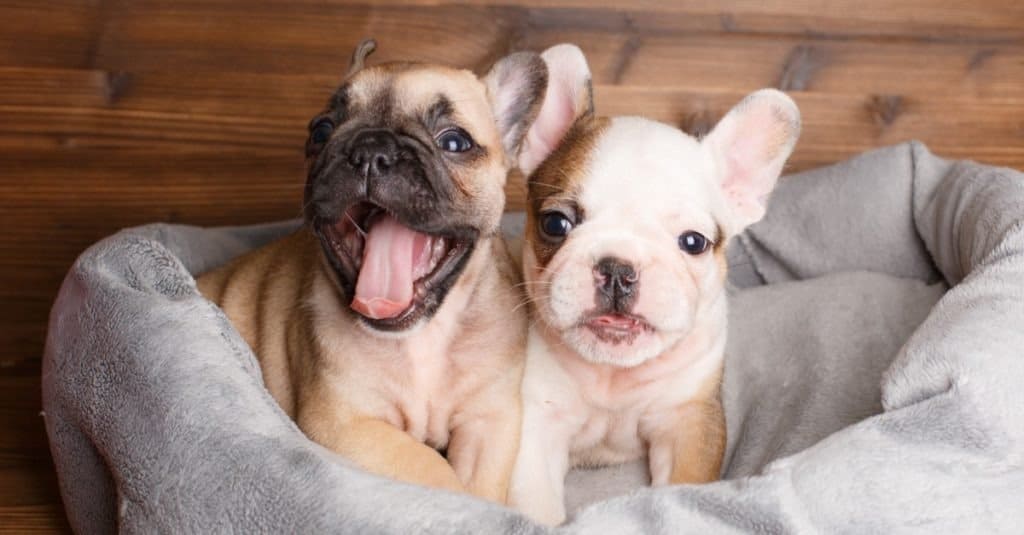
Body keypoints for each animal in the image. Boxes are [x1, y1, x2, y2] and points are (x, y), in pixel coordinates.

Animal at [196, 40, 589, 500]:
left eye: (454, 141)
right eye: (321, 131)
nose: (370, 148)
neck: (424, 337)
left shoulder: (488, 421)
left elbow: (479, 486)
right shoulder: (348, 425)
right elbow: (432, 470)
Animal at [507, 47, 802, 522]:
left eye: (694, 242)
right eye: (555, 223)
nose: (617, 269)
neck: (614, 375)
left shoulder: (688, 419)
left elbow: (683, 485)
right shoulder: (533, 426)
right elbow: (533, 502)